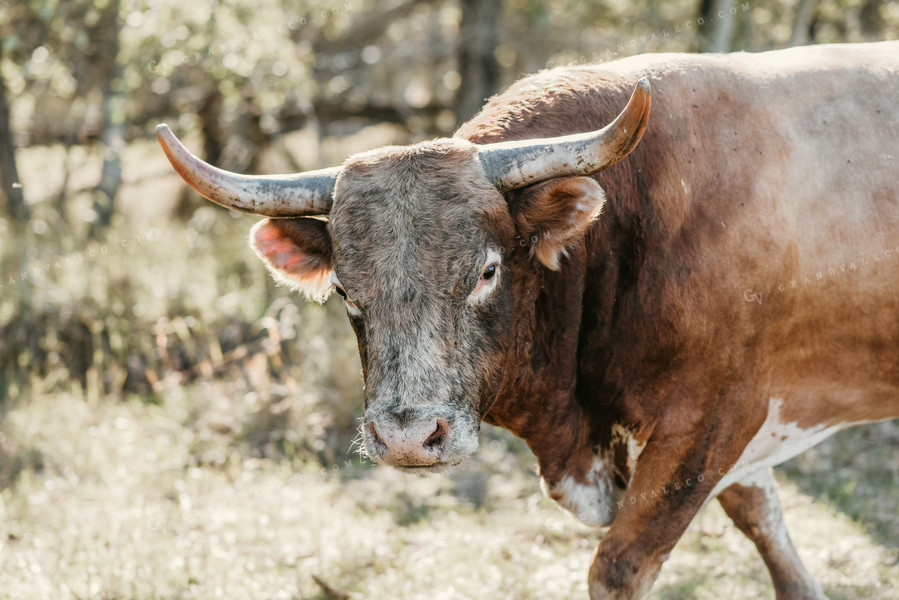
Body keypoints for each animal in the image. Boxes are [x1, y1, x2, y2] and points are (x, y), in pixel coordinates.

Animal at [156, 39, 899, 596]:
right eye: (343, 289)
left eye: (487, 271)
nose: (407, 438)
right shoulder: (731, 436)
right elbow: (762, 517)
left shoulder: (710, 420)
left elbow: (621, 566)